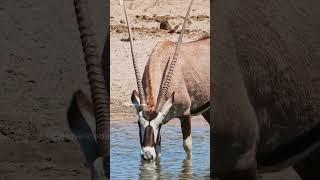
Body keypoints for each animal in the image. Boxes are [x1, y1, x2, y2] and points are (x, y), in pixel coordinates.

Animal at [120, 0, 210, 160]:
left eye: (160, 124)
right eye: (138, 123)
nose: (147, 155)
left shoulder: (185, 114)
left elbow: (188, 148)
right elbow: (158, 152)